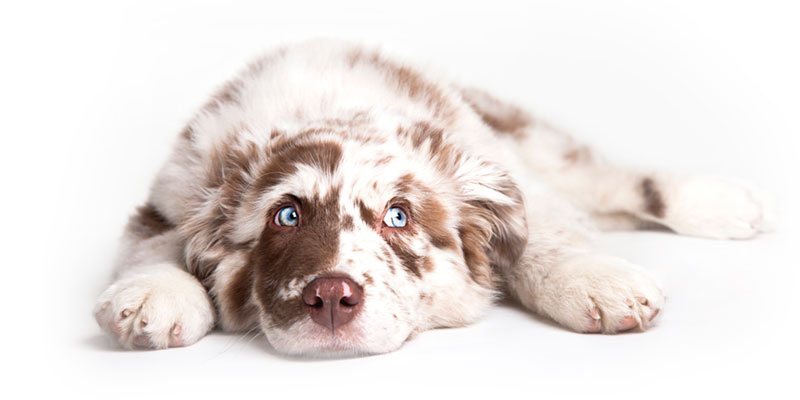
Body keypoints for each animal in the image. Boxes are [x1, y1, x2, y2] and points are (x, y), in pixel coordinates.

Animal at [94, 39, 776, 354]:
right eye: (285, 215)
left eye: (398, 217)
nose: (331, 298)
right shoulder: (171, 194)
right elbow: (156, 246)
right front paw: (151, 296)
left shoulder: (502, 170)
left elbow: (543, 234)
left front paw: (595, 281)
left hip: (530, 141)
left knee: (613, 182)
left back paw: (726, 203)